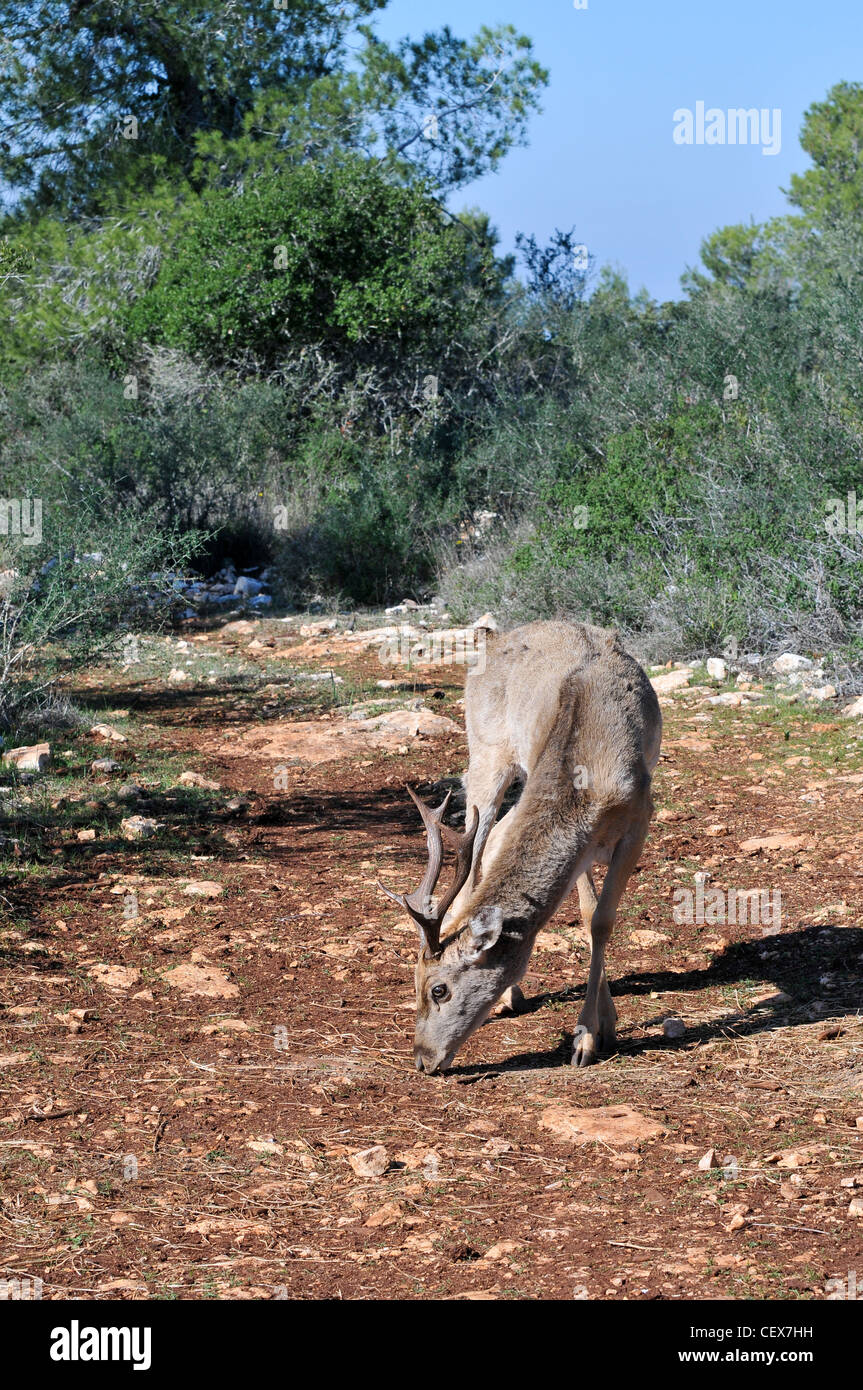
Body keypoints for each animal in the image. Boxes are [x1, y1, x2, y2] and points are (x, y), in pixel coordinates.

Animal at [377, 622, 658, 1073]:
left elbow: (597, 919)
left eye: (438, 989)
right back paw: (511, 997)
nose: (421, 1060)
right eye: (414, 982)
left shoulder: (639, 817)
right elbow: (589, 911)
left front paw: (594, 1032)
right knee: (476, 859)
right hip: (485, 755)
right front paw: (591, 1031)